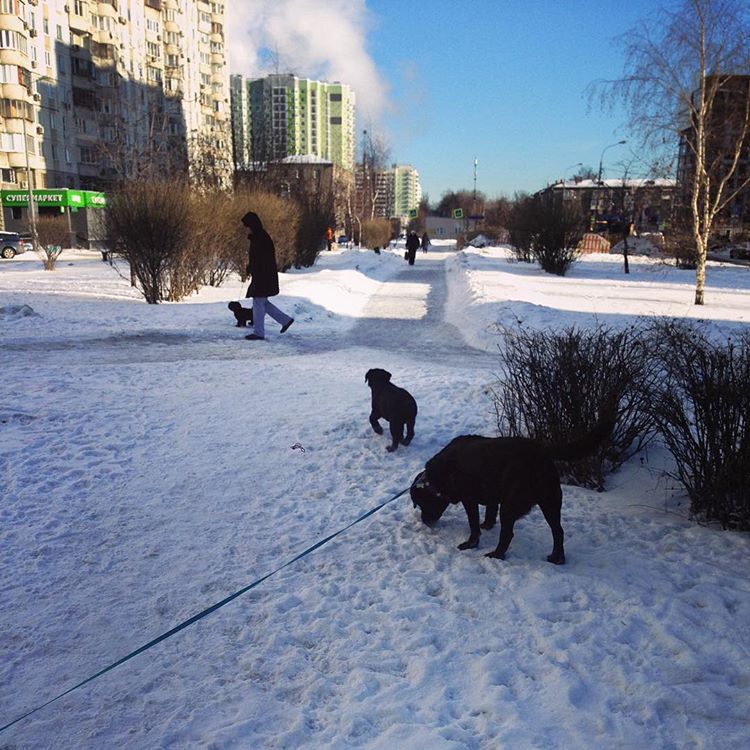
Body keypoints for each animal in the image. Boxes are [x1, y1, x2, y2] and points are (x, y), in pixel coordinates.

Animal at [412, 414, 616, 568]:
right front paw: (487, 525)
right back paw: (557, 558)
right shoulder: (492, 494)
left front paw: (471, 543)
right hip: (550, 500)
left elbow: (473, 524)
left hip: (511, 504)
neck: (440, 474)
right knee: (558, 531)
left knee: (508, 534)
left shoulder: (469, 499)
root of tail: (540, 450)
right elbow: (489, 511)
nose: (425, 521)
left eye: (422, 504)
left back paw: (496, 555)